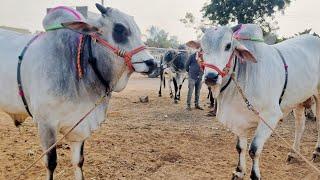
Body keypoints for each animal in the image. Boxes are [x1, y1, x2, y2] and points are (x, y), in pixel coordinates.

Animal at [198, 23, 320, 179]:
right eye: (202, 48)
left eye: (228, 45)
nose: (211, 77)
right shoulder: (239, 121)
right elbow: (240, 147)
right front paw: (239, 171)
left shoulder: (270, 117)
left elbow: (254, 149)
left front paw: (254, 174)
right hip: (299, 99)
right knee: (300, 125)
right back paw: (293, 153)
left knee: (318, 123)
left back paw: (316, 151)